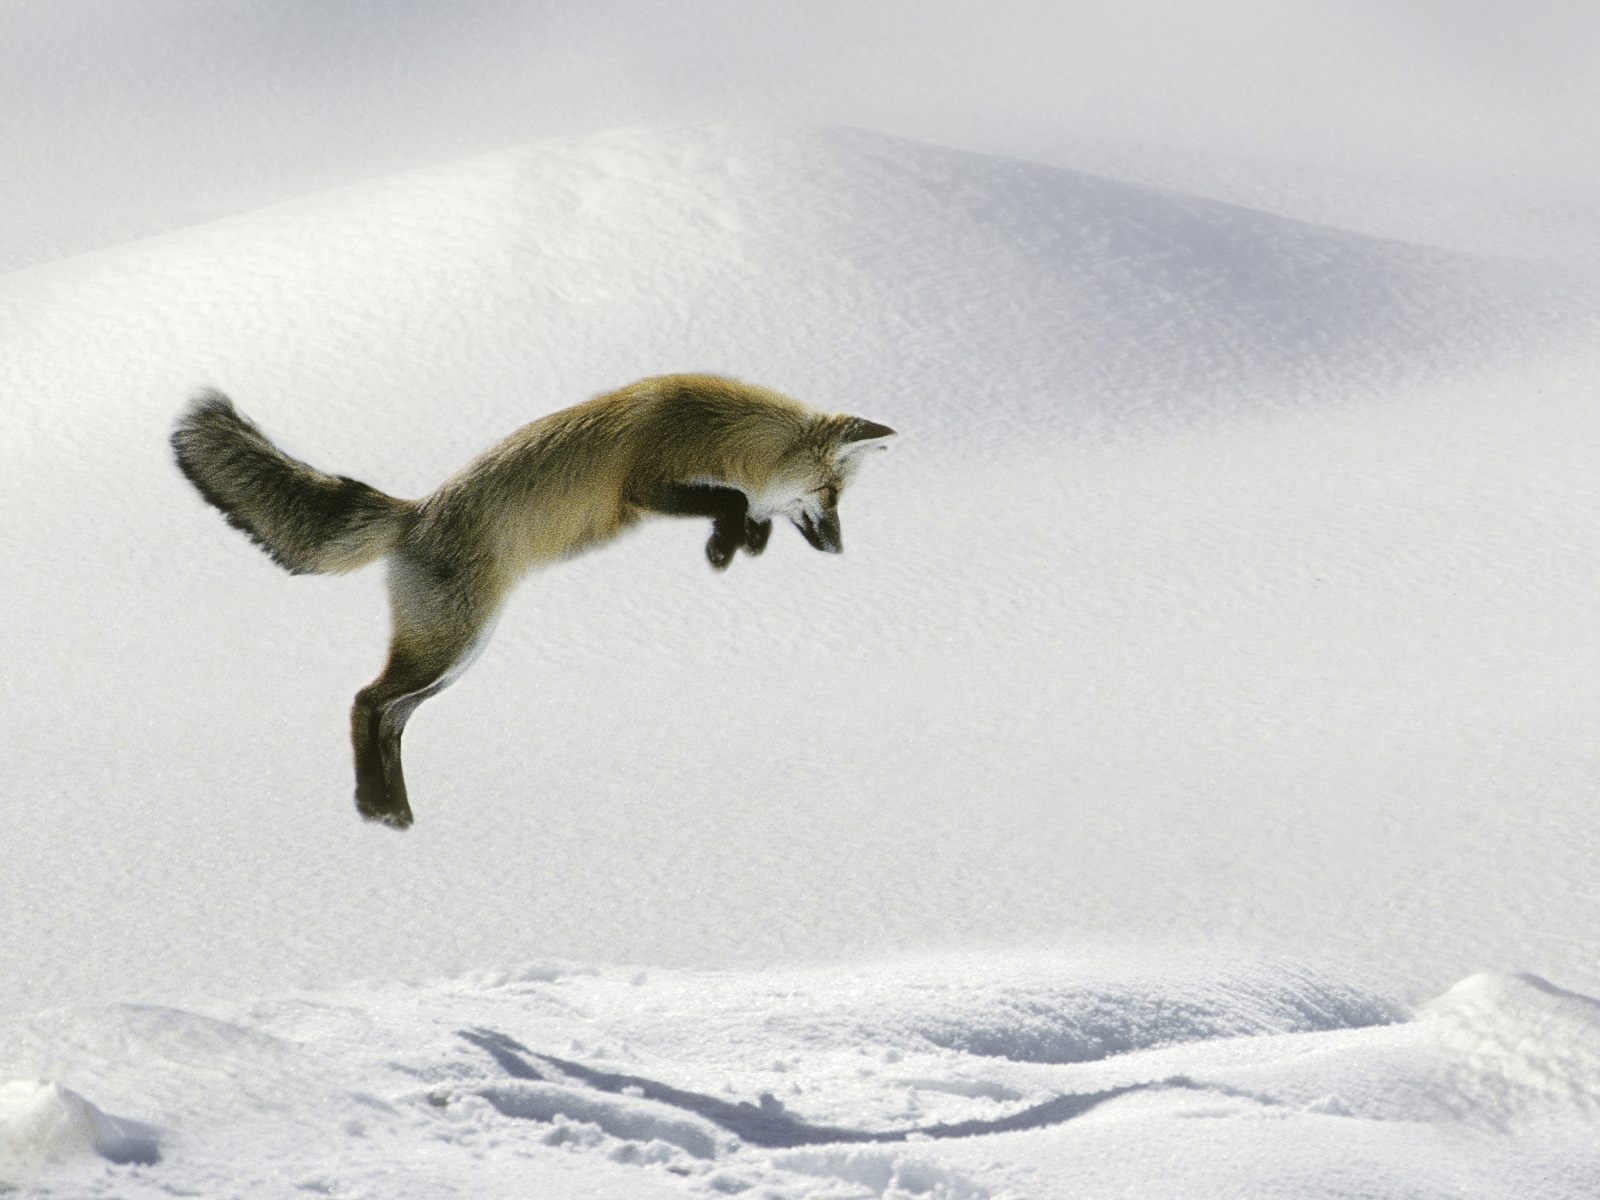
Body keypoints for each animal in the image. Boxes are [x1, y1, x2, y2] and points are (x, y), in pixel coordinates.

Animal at [171, 373, 895, 830]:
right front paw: (727, 543)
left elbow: (745, 509)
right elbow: (733, 499)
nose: (838, 550)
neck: (718, 429)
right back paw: (376, 807)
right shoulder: (643, 482)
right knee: (366, 702)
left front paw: (741, 544)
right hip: (451, 644)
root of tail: (414, 512)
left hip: (457, 655)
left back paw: (393, 813)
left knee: (392, 717)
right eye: (831, 495)